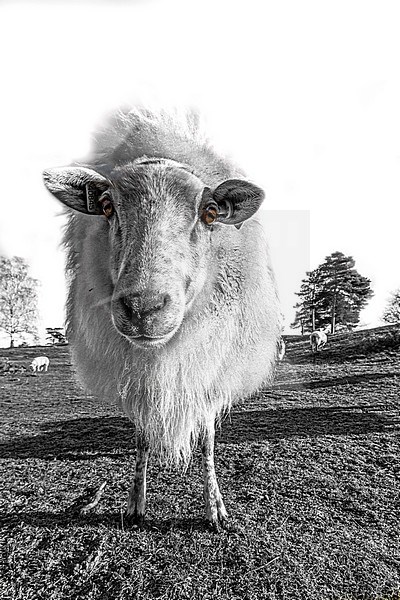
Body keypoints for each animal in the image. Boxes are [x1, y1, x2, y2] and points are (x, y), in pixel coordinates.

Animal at [42, 109, 282, 528]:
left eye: (210, 213)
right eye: (107, 207)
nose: (144, 308)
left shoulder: (209, 374)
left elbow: (206, 443)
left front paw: (215, 507)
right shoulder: (134, 378)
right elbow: (140, 439)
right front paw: (136, 503)